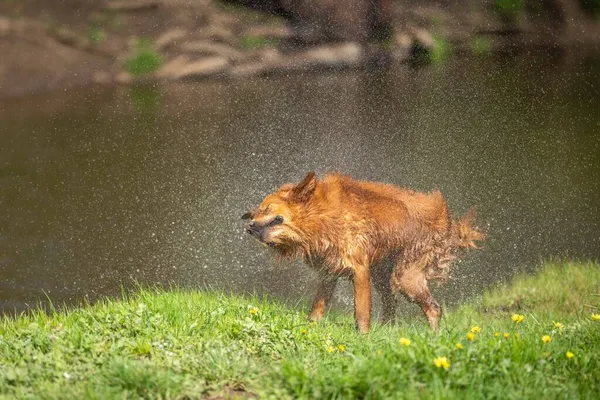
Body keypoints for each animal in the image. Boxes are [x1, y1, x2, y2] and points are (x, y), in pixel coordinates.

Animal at [241, 172, 480, 332]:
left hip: (405, 278)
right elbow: (317, 308)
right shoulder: (329, 274)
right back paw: (386, 332)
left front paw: (362, 338)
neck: (323, 216)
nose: (249, 225)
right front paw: (310, 327)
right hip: (384, 277)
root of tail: (446, 220)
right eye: (257, 212)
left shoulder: (359, 270)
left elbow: (362, 313)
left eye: (268, 209)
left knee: (434, 309)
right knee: (391, 305)